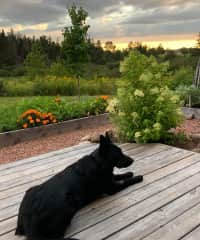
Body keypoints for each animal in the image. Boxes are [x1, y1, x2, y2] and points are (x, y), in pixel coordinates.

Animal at [16, 133, 144, 240]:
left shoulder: (110, 178)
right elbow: (125, 182)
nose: (132, 160)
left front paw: (128, 173)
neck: (98, 162)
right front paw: (137, 177)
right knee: (56, 237)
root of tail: (27, 217)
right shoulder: (112, 188)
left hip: (31, 189)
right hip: (68, 204)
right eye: (118, 154)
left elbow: (118, 176)